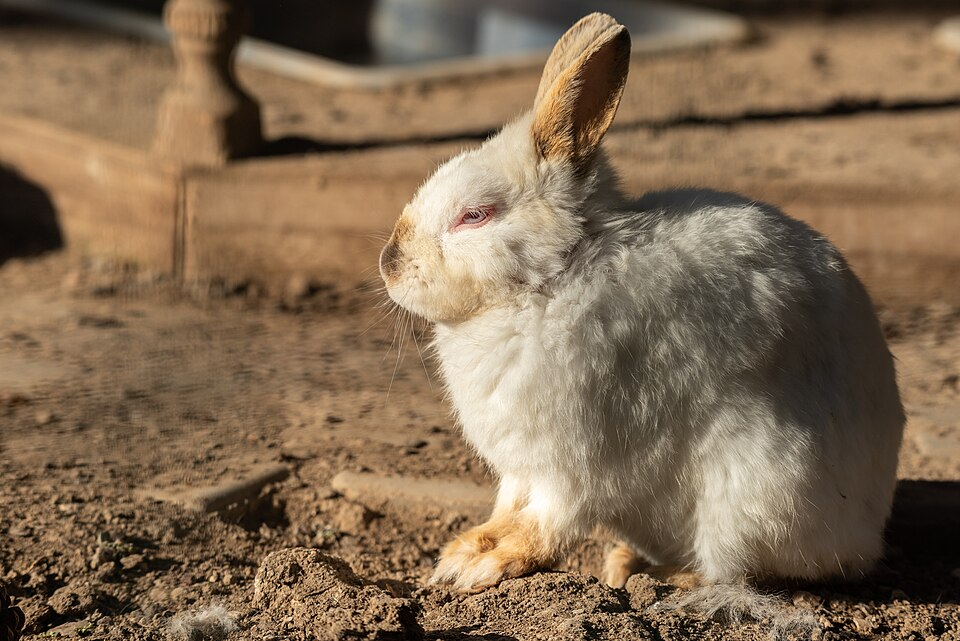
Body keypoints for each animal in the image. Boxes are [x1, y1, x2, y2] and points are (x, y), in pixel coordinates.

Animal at [378, 12, 905, 601]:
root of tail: (864, 535)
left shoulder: (574, 467)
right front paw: (465, 550)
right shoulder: (520, 468)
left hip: (756, 496)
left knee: (738, 571)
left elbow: (546, 526)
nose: (388, 263)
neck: (549, 282)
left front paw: (483, 566)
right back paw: (626, 560)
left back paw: (658, 576)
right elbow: (506, 509)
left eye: (475, 215)